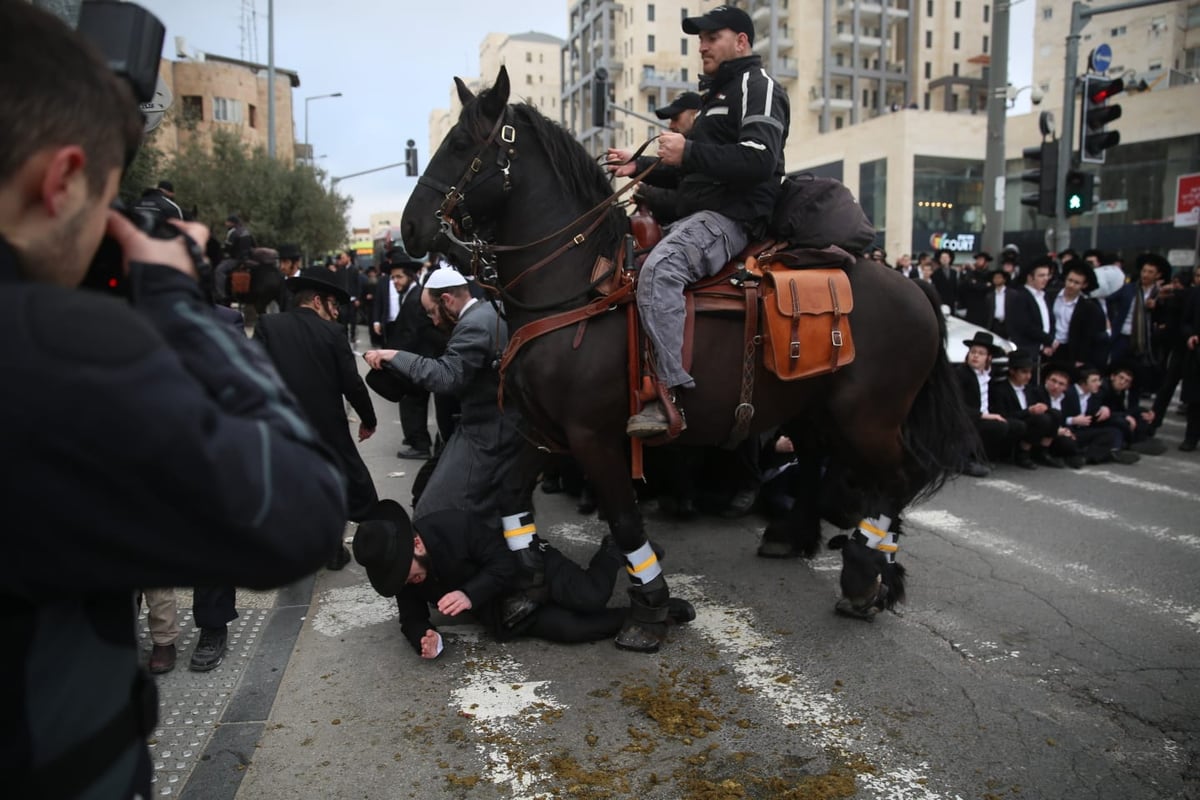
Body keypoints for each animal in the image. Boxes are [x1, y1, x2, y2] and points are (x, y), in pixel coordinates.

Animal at [398, 67, 979, 652]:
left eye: (461, 144)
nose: (409, 228)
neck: (578, 286)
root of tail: (911, 285)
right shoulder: (546, 431)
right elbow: (510, 499)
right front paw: (527, 585)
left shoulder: (592, 435)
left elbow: (625, 521)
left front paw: (648, 609)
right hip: (816, 411)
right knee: (829, 466)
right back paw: (825, 550)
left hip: (867, 417)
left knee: (900, 477)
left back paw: (865, 570)